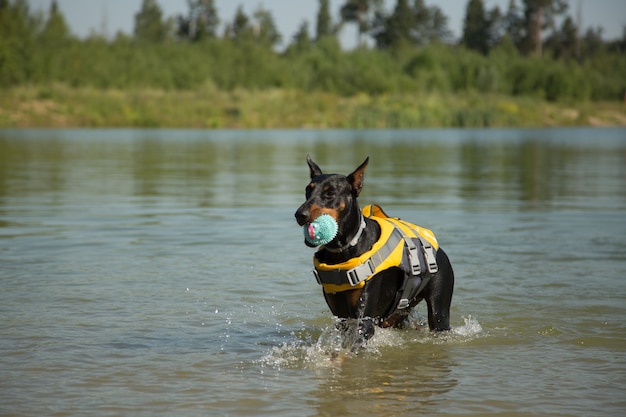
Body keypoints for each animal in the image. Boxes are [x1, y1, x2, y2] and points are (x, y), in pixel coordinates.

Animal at [294, 154, 450, 340]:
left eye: (330, 193)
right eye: (307, 190)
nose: (299, 214)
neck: (343, 250)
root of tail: (440, 251)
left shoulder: (365, 319)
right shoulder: (341, 316)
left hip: (439, 310)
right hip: (396, 314)